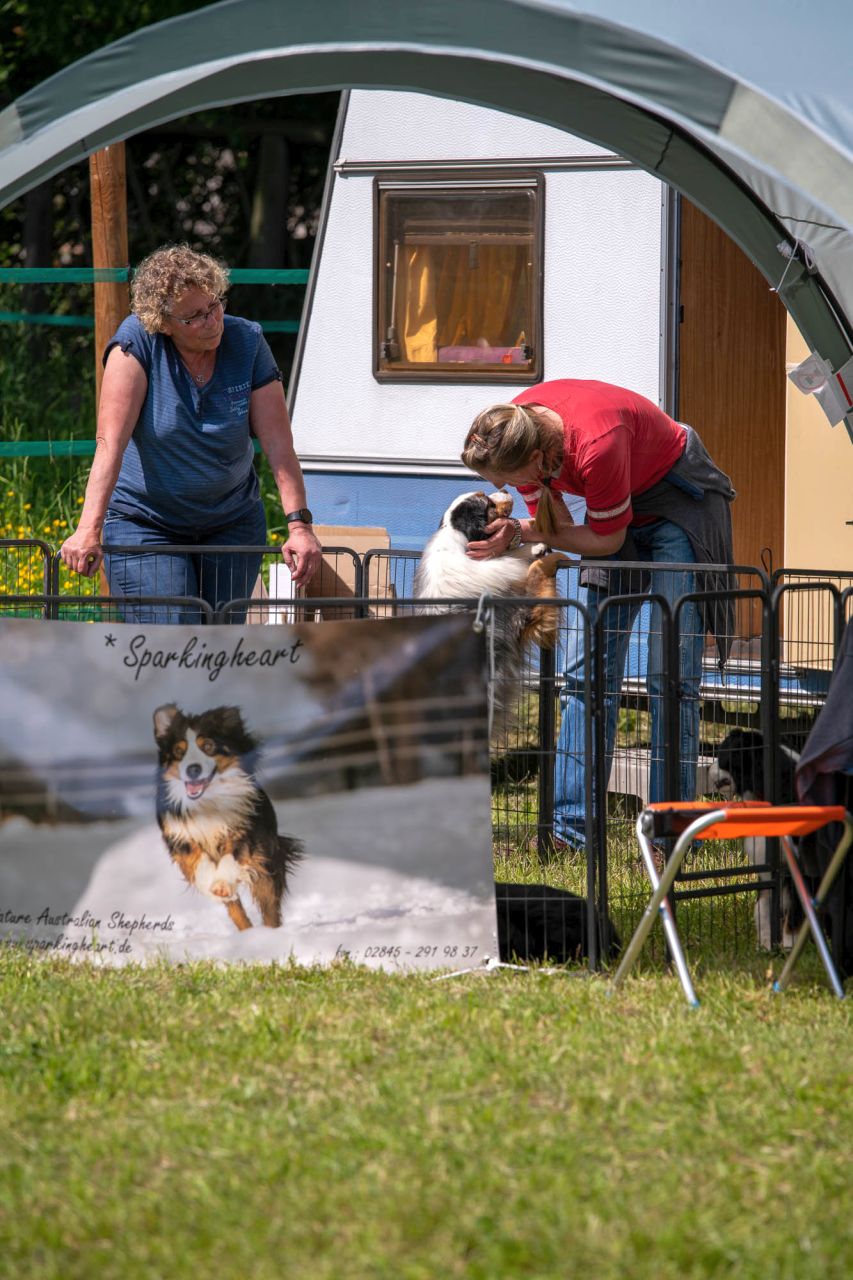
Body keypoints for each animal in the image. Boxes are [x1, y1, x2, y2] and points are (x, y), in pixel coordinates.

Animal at [153, 701, 302, 931]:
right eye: (179, 751)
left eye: (208, 747)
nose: (192, 769)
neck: (207, 801)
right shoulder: (180, 836)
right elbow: (198, 861)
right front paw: (213, 886)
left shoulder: (245, 830)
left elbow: (232, 855)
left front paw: (221, 885)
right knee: (236, 909)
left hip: (267, 863)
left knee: (269, 906)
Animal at [412, 488, 563, 716]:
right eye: (487, 502)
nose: (504, 489)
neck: (457, 537)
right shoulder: (521, 616)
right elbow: (524, 564)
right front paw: (539, 548)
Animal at [701, 727, 799, 947]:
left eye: (722, 755)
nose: (705, 768)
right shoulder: (766, 861)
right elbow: (763, 905)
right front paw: (765, 944)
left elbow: (793, 911)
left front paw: (789, 945)